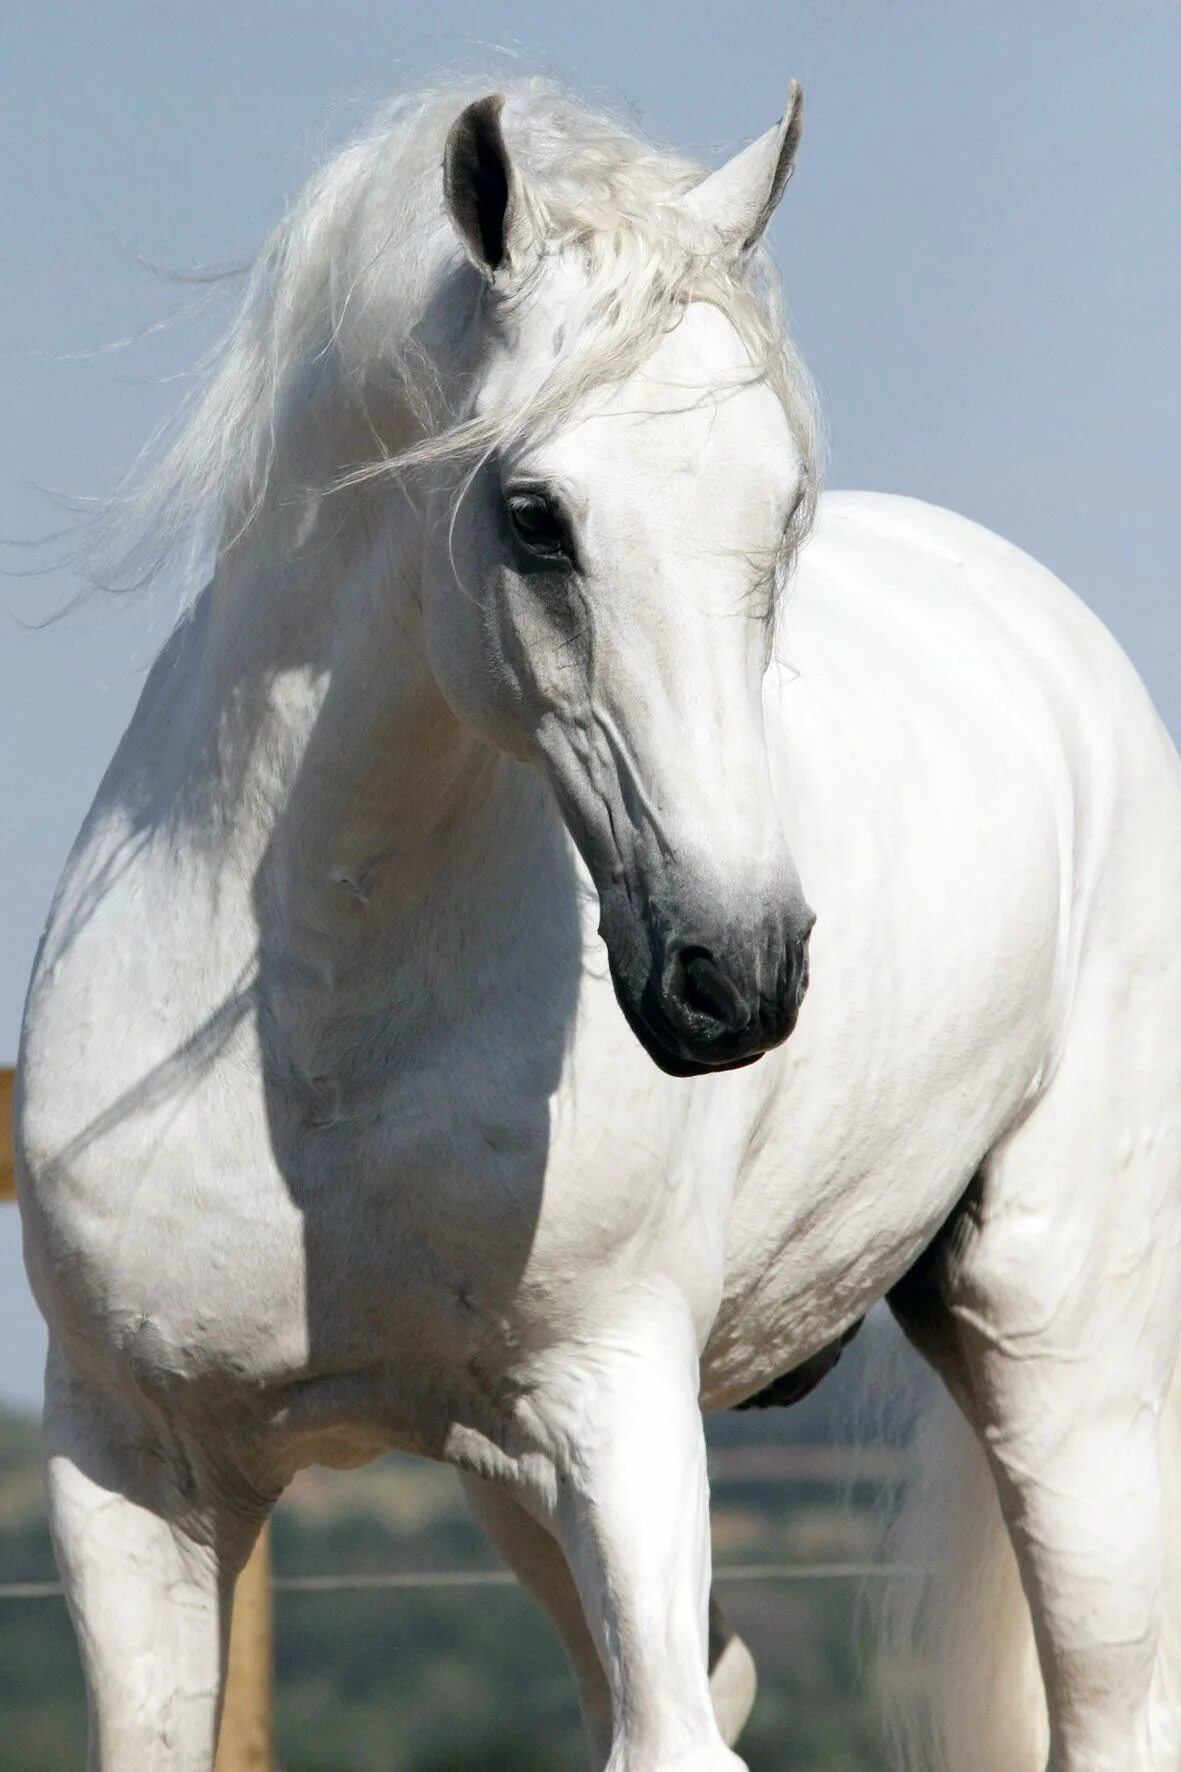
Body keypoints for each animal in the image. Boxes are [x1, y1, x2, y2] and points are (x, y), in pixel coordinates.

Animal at [16, 79, 1177, 1772]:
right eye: (534, 515)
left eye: (783, 507)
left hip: (1057, 1347)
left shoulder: (614, 1420)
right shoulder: (131, 1476)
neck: (319, 1037)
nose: (738, 977)